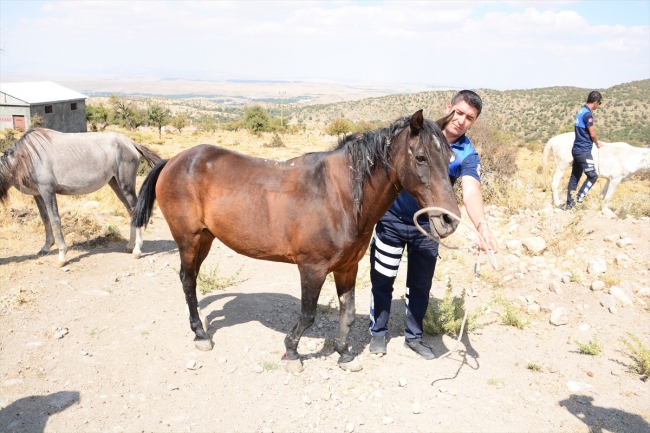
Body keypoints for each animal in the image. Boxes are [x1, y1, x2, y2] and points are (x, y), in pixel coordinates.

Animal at [0, 126, 161, 264]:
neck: (25, 157)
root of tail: (131, 143)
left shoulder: (48, 191)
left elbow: (55, 220)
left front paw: (62, 256)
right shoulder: (38, 194)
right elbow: (45, 218)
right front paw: (46, 247)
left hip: (126, 186)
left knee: (136, 210)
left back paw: (137, 250)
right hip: (115, 184)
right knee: (131, 212)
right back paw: (129, 246)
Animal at [132, 111, 458, 372]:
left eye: (450, 159)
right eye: (421, 157)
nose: (449, 220)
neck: (337, 195)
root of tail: (173, 160)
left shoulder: (347, 268)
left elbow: (348, 313)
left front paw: (344, 354)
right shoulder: (312, 268)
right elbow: (308, 315)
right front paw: (292, 352)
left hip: (206, 238)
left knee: (191, 278)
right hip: (188, 239)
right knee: (188, 280)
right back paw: (200, 335)